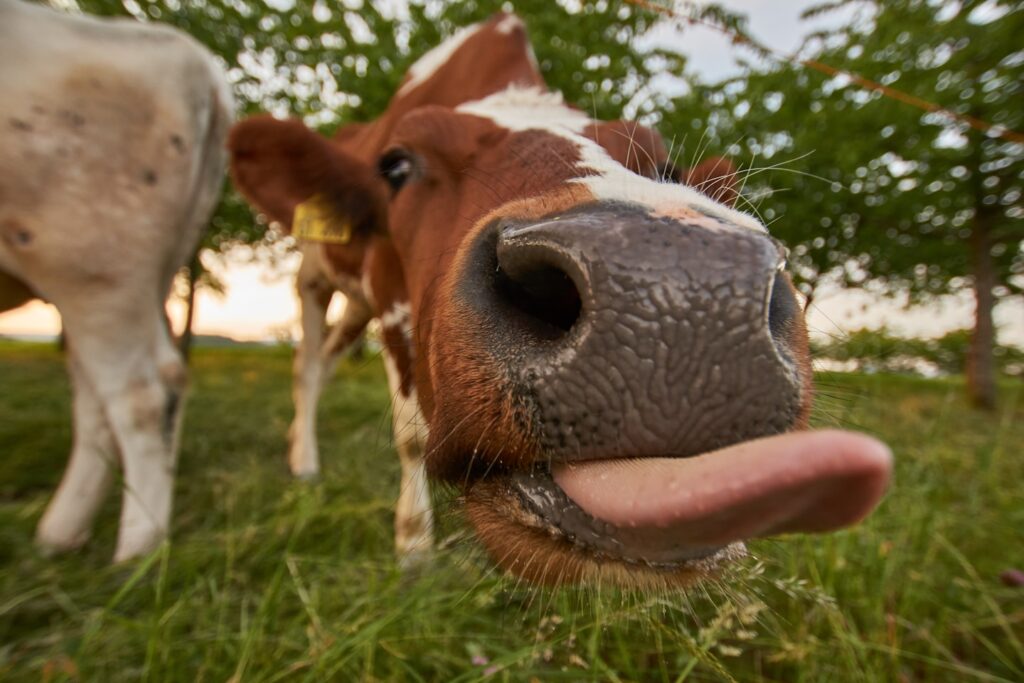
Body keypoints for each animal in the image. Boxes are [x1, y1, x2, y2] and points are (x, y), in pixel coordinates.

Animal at [0, 0, 234, 562]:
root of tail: (201, 67)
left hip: (93, 262)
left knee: (138, 394)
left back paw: (136, 551)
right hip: (138, 276)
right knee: (103, 399)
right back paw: (62, 535)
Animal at [229, 13, 891, 587]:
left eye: (666, 166)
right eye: (395, 165)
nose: (678, 297)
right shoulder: (390, 295)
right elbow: (412, 434)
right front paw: (413, 550)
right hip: (315, 278)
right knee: (308, 364)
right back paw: (305, 463)